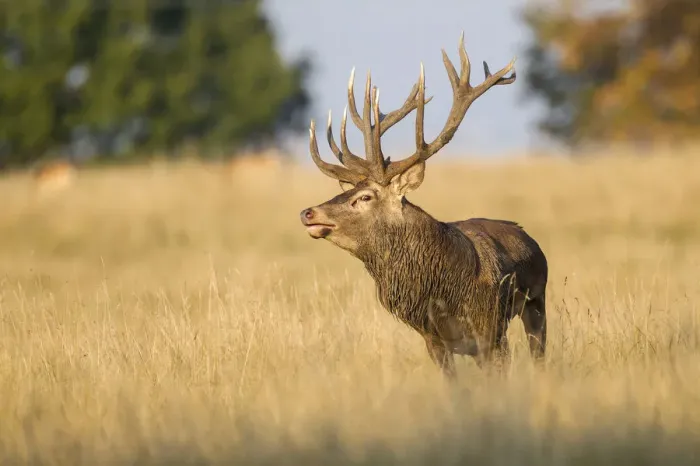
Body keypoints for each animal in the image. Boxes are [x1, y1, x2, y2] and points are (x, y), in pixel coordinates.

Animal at [298, 34, 549, 380]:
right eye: (350, 191)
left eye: (365, 197)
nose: (308, 212)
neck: (444, 290)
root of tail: (527, 235)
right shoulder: (433, 339)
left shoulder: (490, 329)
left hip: (537, 301)